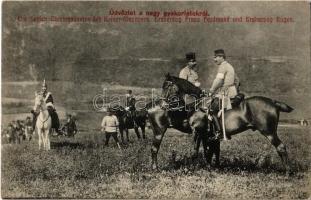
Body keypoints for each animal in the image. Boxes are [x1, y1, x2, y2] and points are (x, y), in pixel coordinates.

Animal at [149, 74, 294, 171]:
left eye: (167, 86)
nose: (162, 104)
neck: (196, 105)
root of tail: (273, 102)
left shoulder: (199, 132)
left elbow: (199, 152)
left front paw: (193, 168)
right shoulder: (207, 135)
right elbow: (209, 151)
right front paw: (210, 167)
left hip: (269, 132)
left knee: (281, 147)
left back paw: (288, 171)